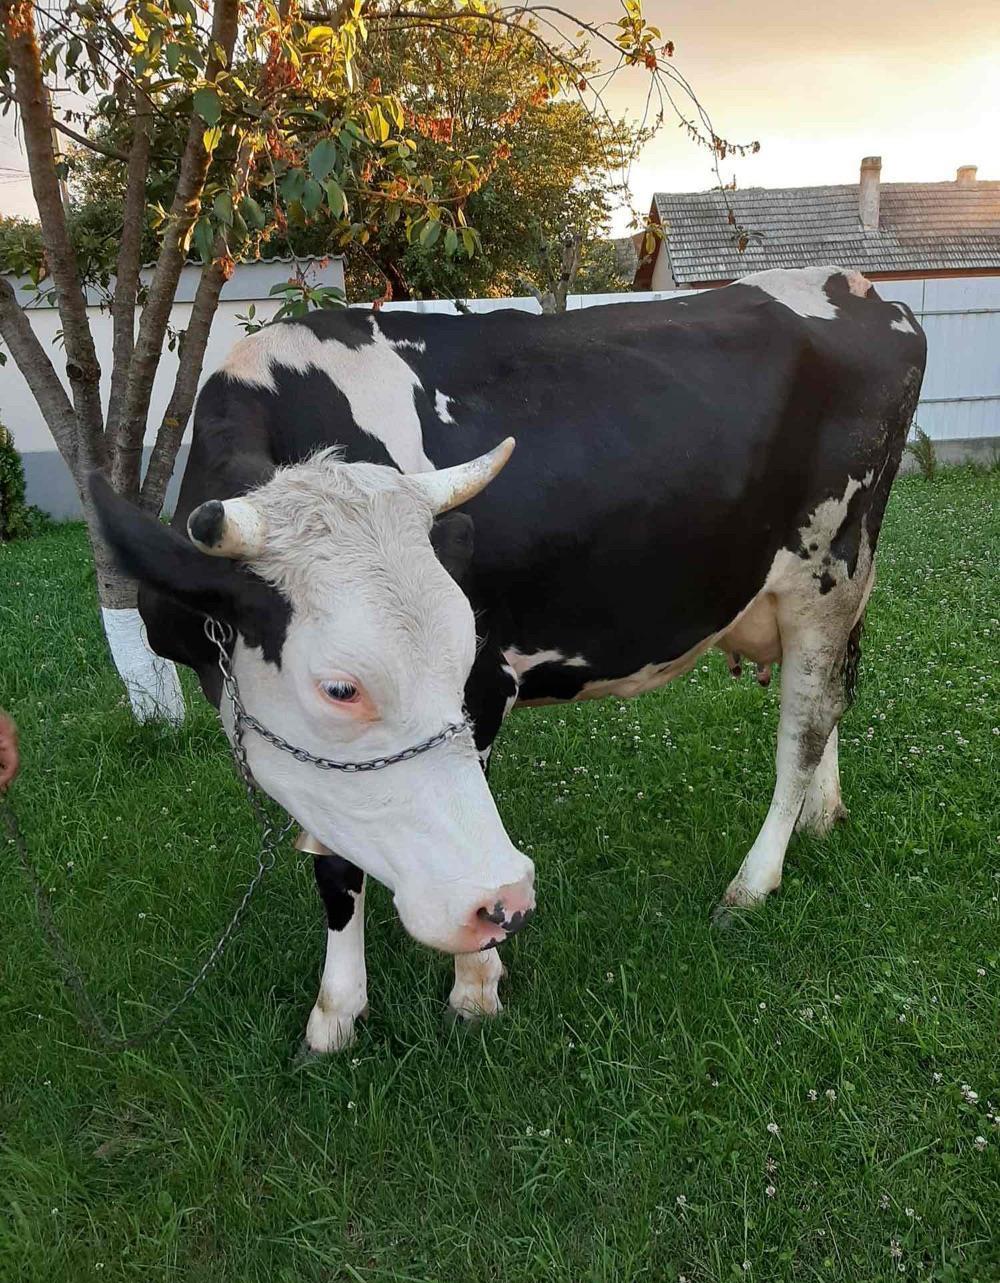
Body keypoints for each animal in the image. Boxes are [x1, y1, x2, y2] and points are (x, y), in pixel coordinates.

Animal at [92, 265, 926, 1053]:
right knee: (832, 703)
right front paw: (335, 1016)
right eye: (340, 688)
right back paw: (823, 813)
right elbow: (335, 864)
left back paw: (754, 880)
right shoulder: (306, 749)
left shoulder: (488, 687)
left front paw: (472, 987)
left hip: (830, 574)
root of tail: (865, 291)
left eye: (463, 649)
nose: (506, 902)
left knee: (803, 730)